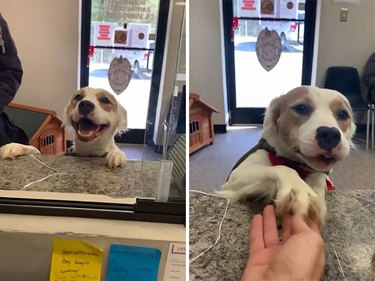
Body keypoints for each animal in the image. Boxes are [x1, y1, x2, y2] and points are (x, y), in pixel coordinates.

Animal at [220, 86, 356, 225]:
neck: (297, 164)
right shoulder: (235, 177)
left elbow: (319, 175)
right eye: (301, 108)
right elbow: (284, 169)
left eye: (342, 114)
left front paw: (316, 191)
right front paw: (299, 190)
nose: (330, 134)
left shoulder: (321, 173)